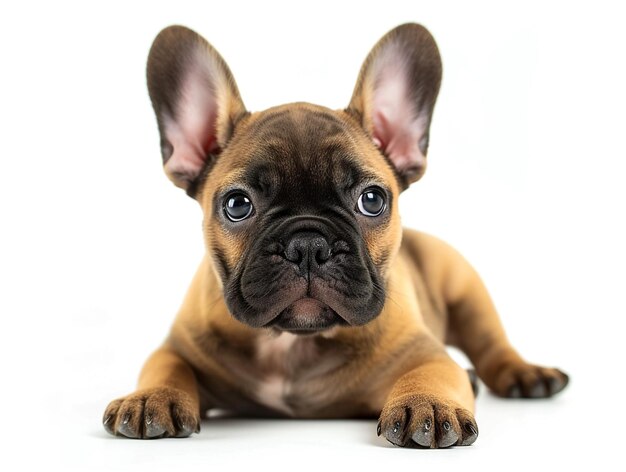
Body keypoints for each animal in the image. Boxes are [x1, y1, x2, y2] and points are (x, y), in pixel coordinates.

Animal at [101, 24, 564, 448]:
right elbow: (166, 365)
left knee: (492, 345)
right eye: (237, 205)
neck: (293, 343)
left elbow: (433, 372)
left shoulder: (425, 351)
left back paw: (525, 373)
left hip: (467, 291)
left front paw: (428, 403)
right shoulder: (178, 347)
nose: (308, 245)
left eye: (372, 200)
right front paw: (150, 397)